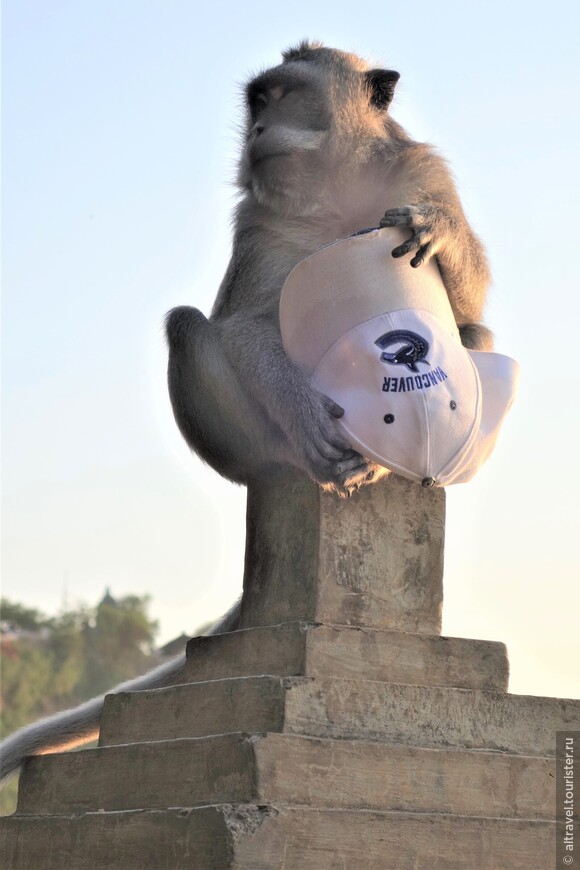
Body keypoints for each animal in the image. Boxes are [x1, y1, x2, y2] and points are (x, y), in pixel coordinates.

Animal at [0, 42, 494, 792]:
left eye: (281, 95)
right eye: (256, 101)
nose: (257, 131)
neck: (336, 186)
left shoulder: (421, 173)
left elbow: (470, 304)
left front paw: (434, 229)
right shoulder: (260, 222)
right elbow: (245, 325)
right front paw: (311, 422)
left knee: (476, 337)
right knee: (189, 328)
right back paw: (293, 457)